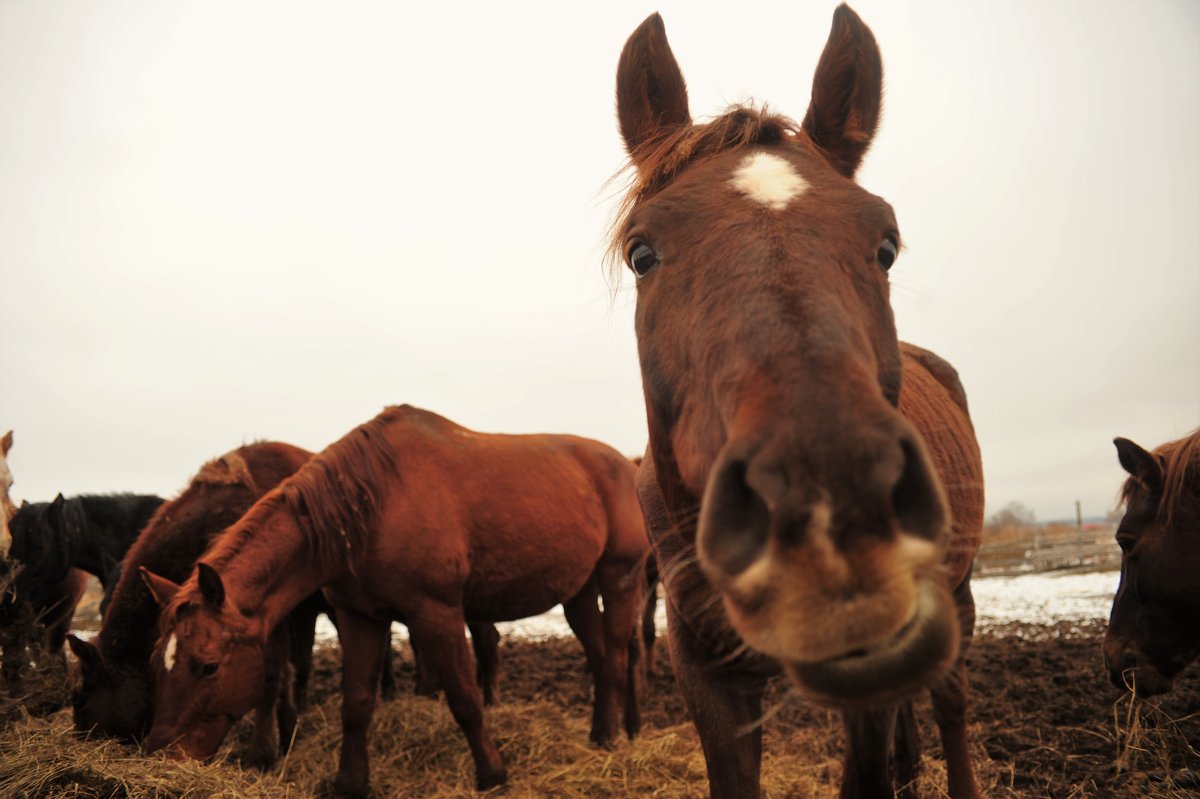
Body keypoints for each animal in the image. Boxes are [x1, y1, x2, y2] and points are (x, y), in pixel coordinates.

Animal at [139, 407, 648, 791]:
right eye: (155, 663)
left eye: (208, 666)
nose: (162, 755)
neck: (372, 504)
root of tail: (626, 464)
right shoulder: (359, 616)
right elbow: (356, 704)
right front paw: (349, 784)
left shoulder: (438, 614)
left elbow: (465, 700)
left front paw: (492, 775)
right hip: (578, 592)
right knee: (600, 657)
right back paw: (599, 734)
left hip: (620, 576)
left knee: (617, 654)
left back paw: (611, 738)